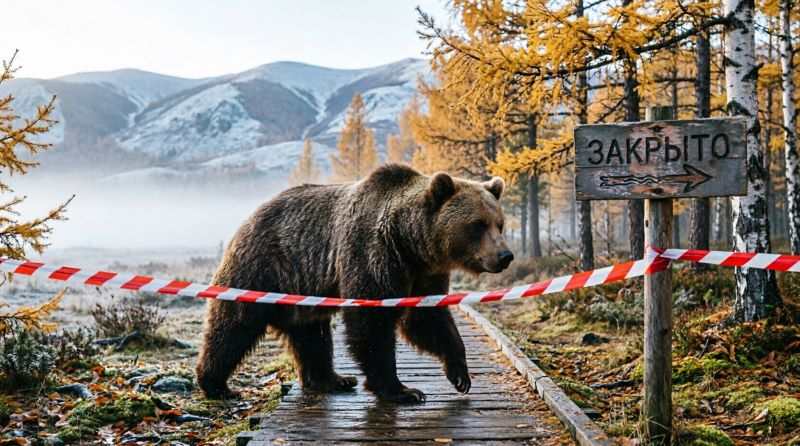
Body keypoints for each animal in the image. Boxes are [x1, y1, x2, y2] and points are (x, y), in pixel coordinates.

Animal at [196, 163, 513, 404]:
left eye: (499, 223)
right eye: (478, 224)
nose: (505, 255)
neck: (410, 245)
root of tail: (247, 220)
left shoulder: (424, 275)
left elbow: (427, 318)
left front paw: (460, 375)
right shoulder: (373, 253)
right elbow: (371, 321)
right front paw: (402, 390)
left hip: (301, 293)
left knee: (312, 336)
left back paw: (334, 379)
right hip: (261, 268)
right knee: (234, 326)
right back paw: (216, 384)